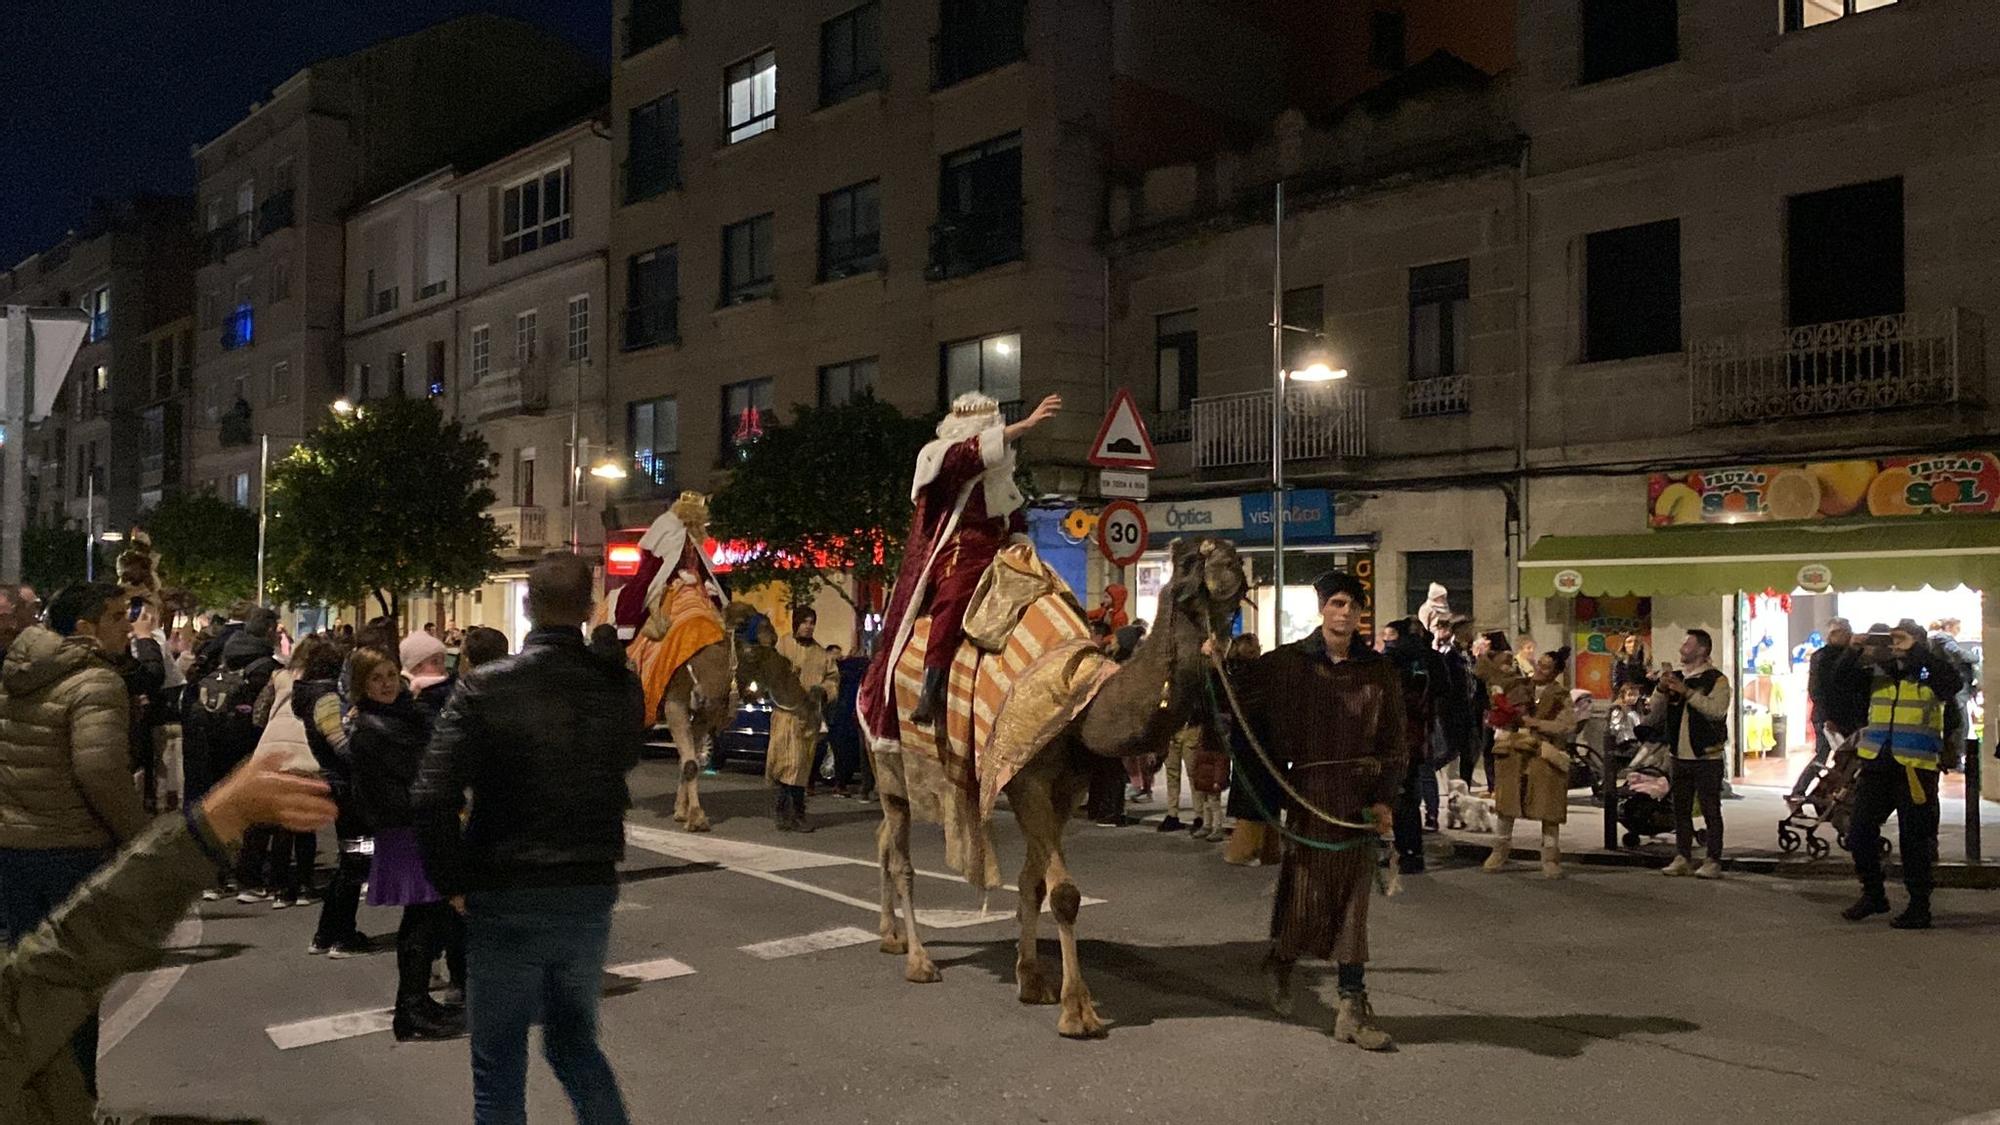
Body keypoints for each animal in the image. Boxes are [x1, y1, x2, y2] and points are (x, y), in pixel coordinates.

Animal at [868, 532, 1240, 1032]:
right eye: (1187, 563)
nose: (1230, 564)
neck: (1083, 701)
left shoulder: (1066, 790)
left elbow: (1036, 884)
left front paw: (1032, 981)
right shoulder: (1026, 780)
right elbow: (1063, 892)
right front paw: (1077, 1011)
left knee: (885, 838)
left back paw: (889, 936)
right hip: (888, 761)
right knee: (901, 856)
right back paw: (919, 960)